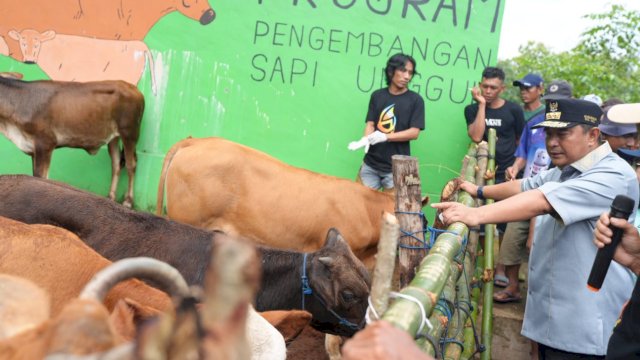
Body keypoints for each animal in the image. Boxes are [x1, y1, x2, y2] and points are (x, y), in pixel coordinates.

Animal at [0, 75, 144, 208]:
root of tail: (134, 89)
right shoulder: (33, 149)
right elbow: (34, 176)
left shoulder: (45, 143)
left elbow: (41, 177)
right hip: (114, 138)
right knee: (116, 163)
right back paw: (110, 197)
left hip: (129, 133)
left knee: (131, 164)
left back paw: (128, 201)